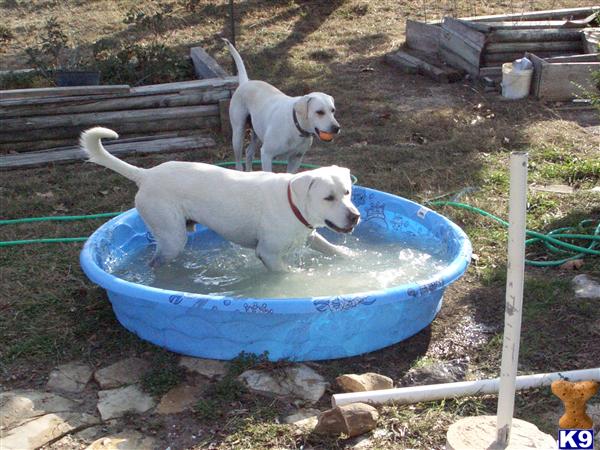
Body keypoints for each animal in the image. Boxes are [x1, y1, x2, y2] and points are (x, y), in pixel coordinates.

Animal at [81, 126, 358, 270]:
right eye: (328, 198)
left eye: (347, 192)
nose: (355, 216)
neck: (293, 203)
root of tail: (146, 175)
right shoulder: (268, 254)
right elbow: (288, 274)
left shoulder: (310, 236)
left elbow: (334, 249)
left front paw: (355, 260)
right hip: (172, 237)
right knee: (156, 260)